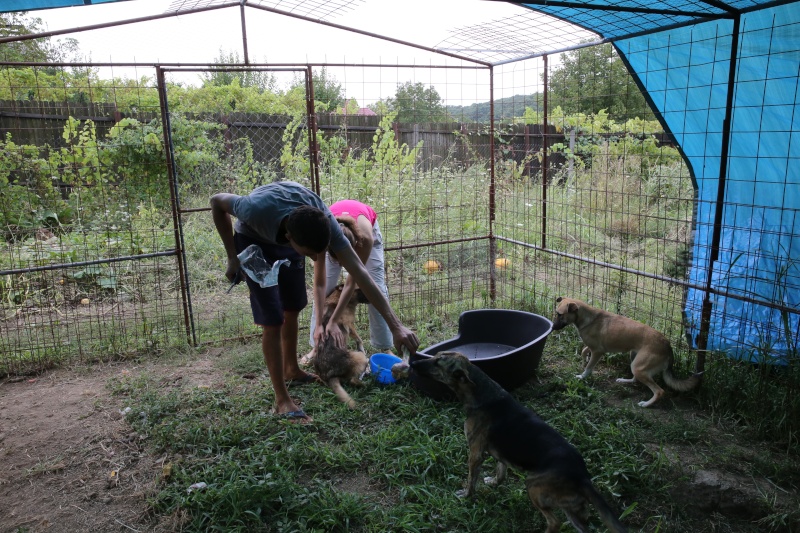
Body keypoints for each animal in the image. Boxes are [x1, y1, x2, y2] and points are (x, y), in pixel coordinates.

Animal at [412, 352, 624, 528]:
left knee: (554, 522)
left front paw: (466, 496)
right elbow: (501, 472)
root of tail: (582, 477)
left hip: (534, 487)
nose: (413, 362)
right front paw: (494, 483)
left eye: (437, 362)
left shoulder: (475, 453)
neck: (480, 391)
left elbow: (471, 480)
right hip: (572, 510)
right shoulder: (500, 454)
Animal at [552, 296, 700, 408]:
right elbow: (583, 351)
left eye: (560, 315)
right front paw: (584, 360)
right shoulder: (594, 348)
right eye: (556, 313)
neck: (587, 318)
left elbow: (589, 367)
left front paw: (582, 376)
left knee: (659, 391)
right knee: (635, 379)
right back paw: (624, 380)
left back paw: (646, 404)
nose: (552, 327)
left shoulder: (598, 351)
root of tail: (667, 346)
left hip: (639, 367)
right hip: (635, 360)